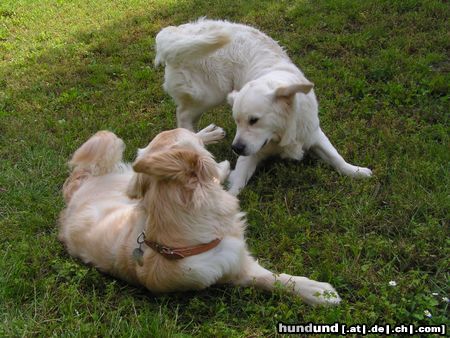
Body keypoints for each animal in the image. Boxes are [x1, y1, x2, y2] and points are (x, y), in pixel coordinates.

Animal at [59, 125, 342, 308]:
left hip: (131, 174)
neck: (174, 244)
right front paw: (319, 292)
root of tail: (76, 188)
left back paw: (210, 133)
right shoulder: (232, 265)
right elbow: (273, 279)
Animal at [156, 18, 372, 194]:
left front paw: (357, 171)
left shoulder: (312, 133)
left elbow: (336, 157)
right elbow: (236, 184)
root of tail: (177, 31)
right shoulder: (250, 154)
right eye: (237, 122)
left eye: (254, 120)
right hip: (210, 93)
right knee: (183, 114)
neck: (282, 131)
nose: (235, 148)